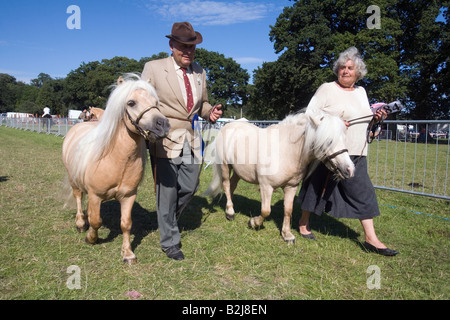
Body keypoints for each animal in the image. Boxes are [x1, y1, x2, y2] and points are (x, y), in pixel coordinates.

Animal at [61, 74, 171, 264]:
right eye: (131, 102)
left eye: (156, 102)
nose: (163, 124)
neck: (117, 159)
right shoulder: (95, 195)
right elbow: (96, 220)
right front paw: (91, 238)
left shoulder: (128, 196)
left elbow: (126, 224)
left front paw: (128, 254)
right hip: (73, 180)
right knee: (78, 198)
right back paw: (81, 224)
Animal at [205, 106, 356, 244]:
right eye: (328, 141)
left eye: (344, 138)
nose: (348, 170)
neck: (287, 150)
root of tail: (228, 125)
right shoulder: (266, 186)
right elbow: (266, 211)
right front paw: (253, 222)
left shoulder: (291, 187)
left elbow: (288, 210)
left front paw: (287, 234)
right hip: (225, 166)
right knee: (226, 184)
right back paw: (230, 212)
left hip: (238, 171)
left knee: (232, 186)